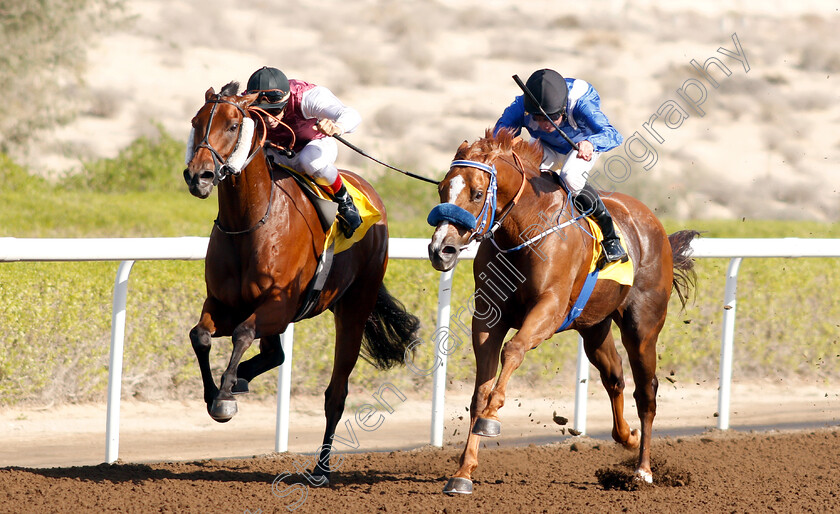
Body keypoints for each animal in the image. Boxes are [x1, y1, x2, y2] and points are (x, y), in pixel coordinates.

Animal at [184, 82, 420, 482]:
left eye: (233, 125)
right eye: (196, 122)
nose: (198, 176)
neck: (251, 221)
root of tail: (371, 192)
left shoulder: (277, 306)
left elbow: (242, 335)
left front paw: (224, 398)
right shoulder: (224, 304)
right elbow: (200, 335)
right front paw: (218, 390)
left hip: (354, 308)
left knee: (336, 393)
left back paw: (321, 467)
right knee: (275, 354)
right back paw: (242, 378)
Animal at [426, 129, 696, 492]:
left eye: (478, 193)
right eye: (442, 188)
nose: (441, 249)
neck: (523, 232)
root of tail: (653, 224)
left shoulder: (550, 309)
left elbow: (513, 351)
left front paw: (491, 420)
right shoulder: (487, 317)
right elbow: (480, 390)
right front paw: (463, 472)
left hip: (642, 327)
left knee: (646, 392)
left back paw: (643, 470)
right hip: (594, 327)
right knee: (614, 377)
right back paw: (627, 437)